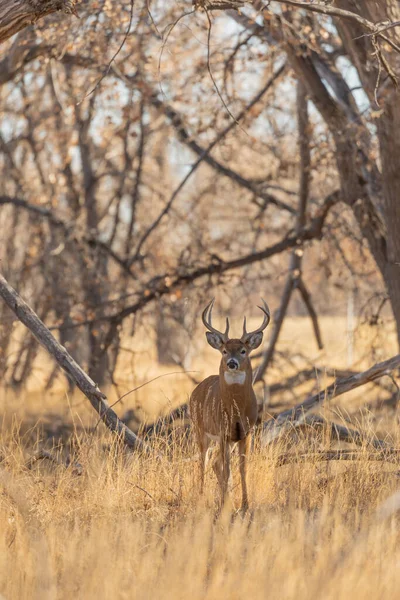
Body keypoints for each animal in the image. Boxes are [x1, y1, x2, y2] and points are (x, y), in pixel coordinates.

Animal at [189, 298, 270, 510]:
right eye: (224, 351)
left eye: (243, 351)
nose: (232, 363)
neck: (236, 409)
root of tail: (195, 390)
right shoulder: (223, 431)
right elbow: (226, 469)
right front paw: (227, 504)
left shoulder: (246, 432)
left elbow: (242, 468)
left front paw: (244, 504)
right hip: (200, 429)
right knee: (203, 461)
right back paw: (201, 496)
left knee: (215, 462)